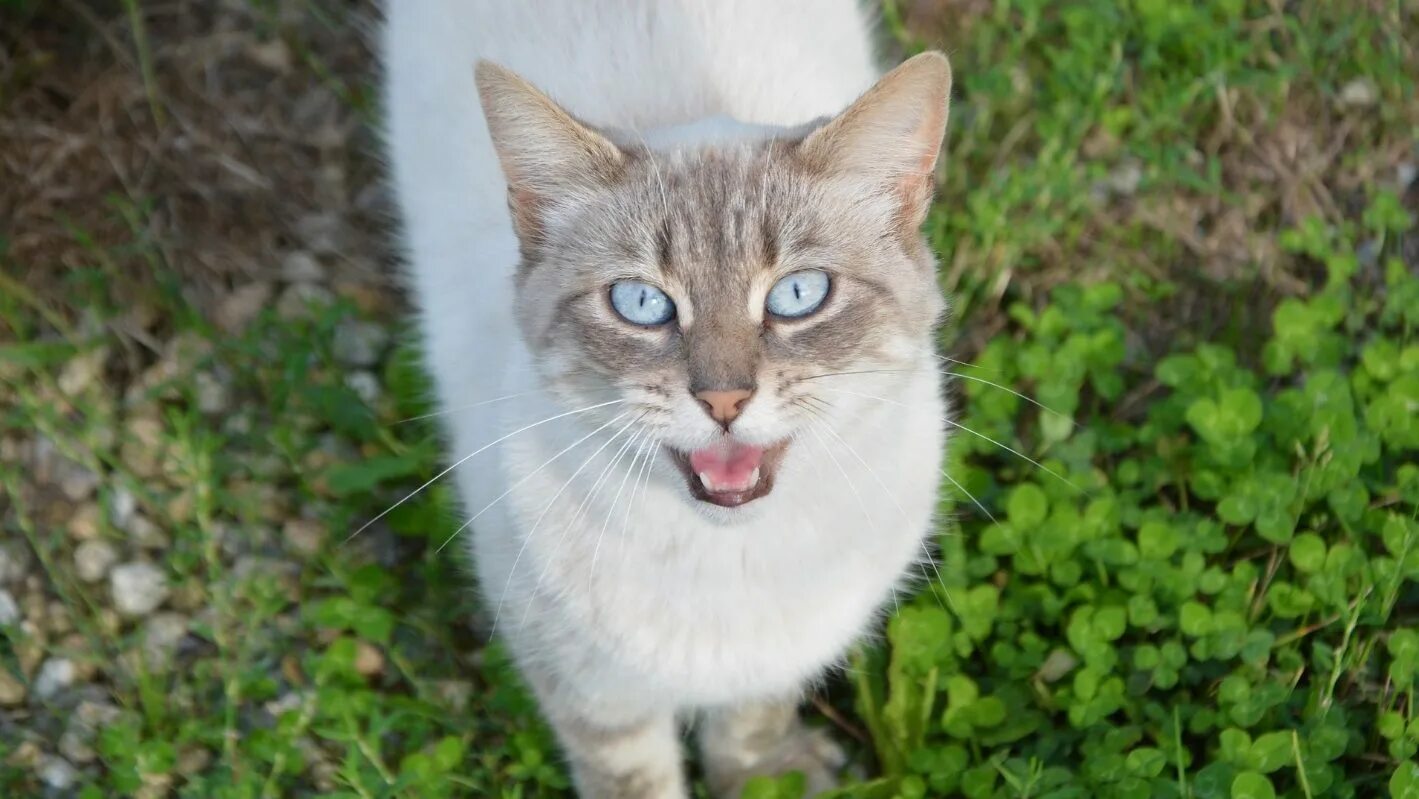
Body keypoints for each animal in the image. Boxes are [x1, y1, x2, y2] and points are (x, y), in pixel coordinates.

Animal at [383, 3, 947, 794]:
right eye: (642, 303)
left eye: (798, 295)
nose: (724, 400)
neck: (727, 559)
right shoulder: (589, 689)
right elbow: (635, 776)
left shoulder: (775, 660)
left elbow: (750, 731)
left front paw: (761, 773)